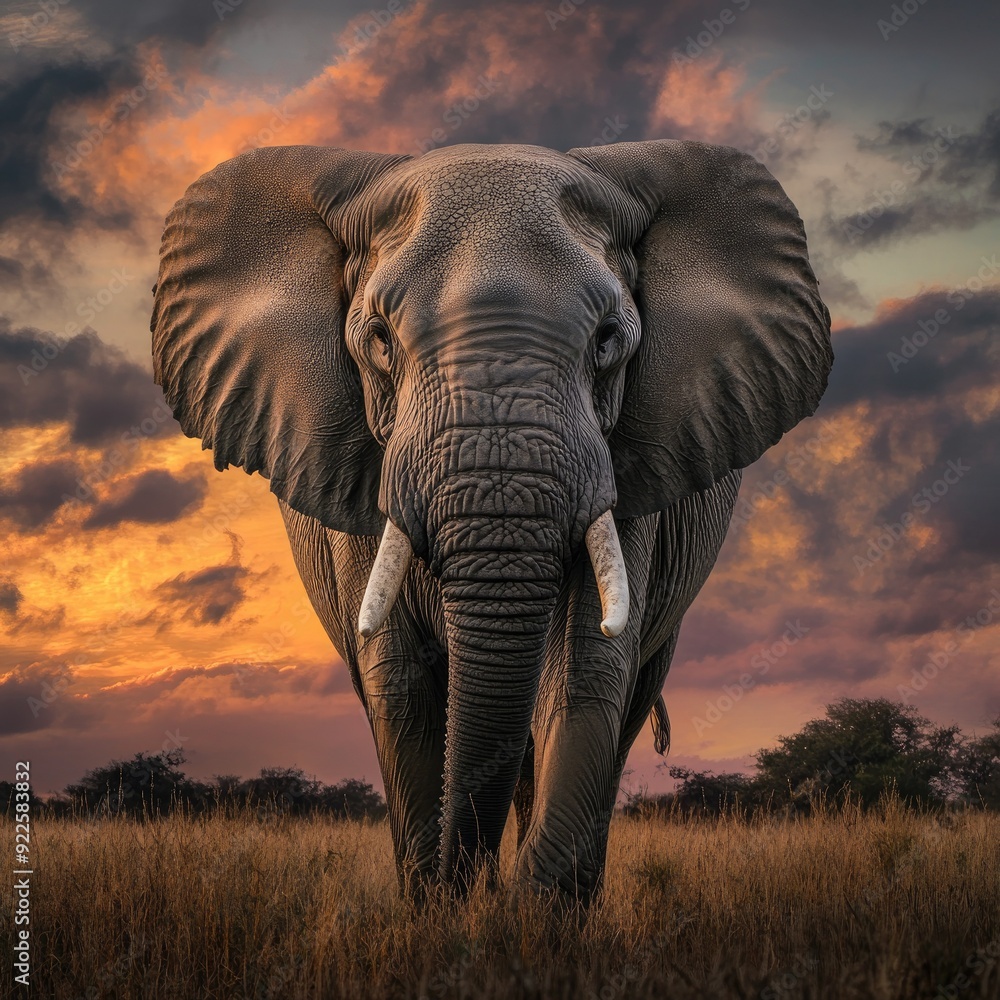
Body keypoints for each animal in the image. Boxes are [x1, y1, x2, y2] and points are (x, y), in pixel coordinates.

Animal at [151, 139, 832, 904]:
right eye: (379, 340)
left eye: (608, 341)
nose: (471, 883)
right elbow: (401, 685)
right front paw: (441, 907)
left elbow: (585, 673)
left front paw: (528, 918)